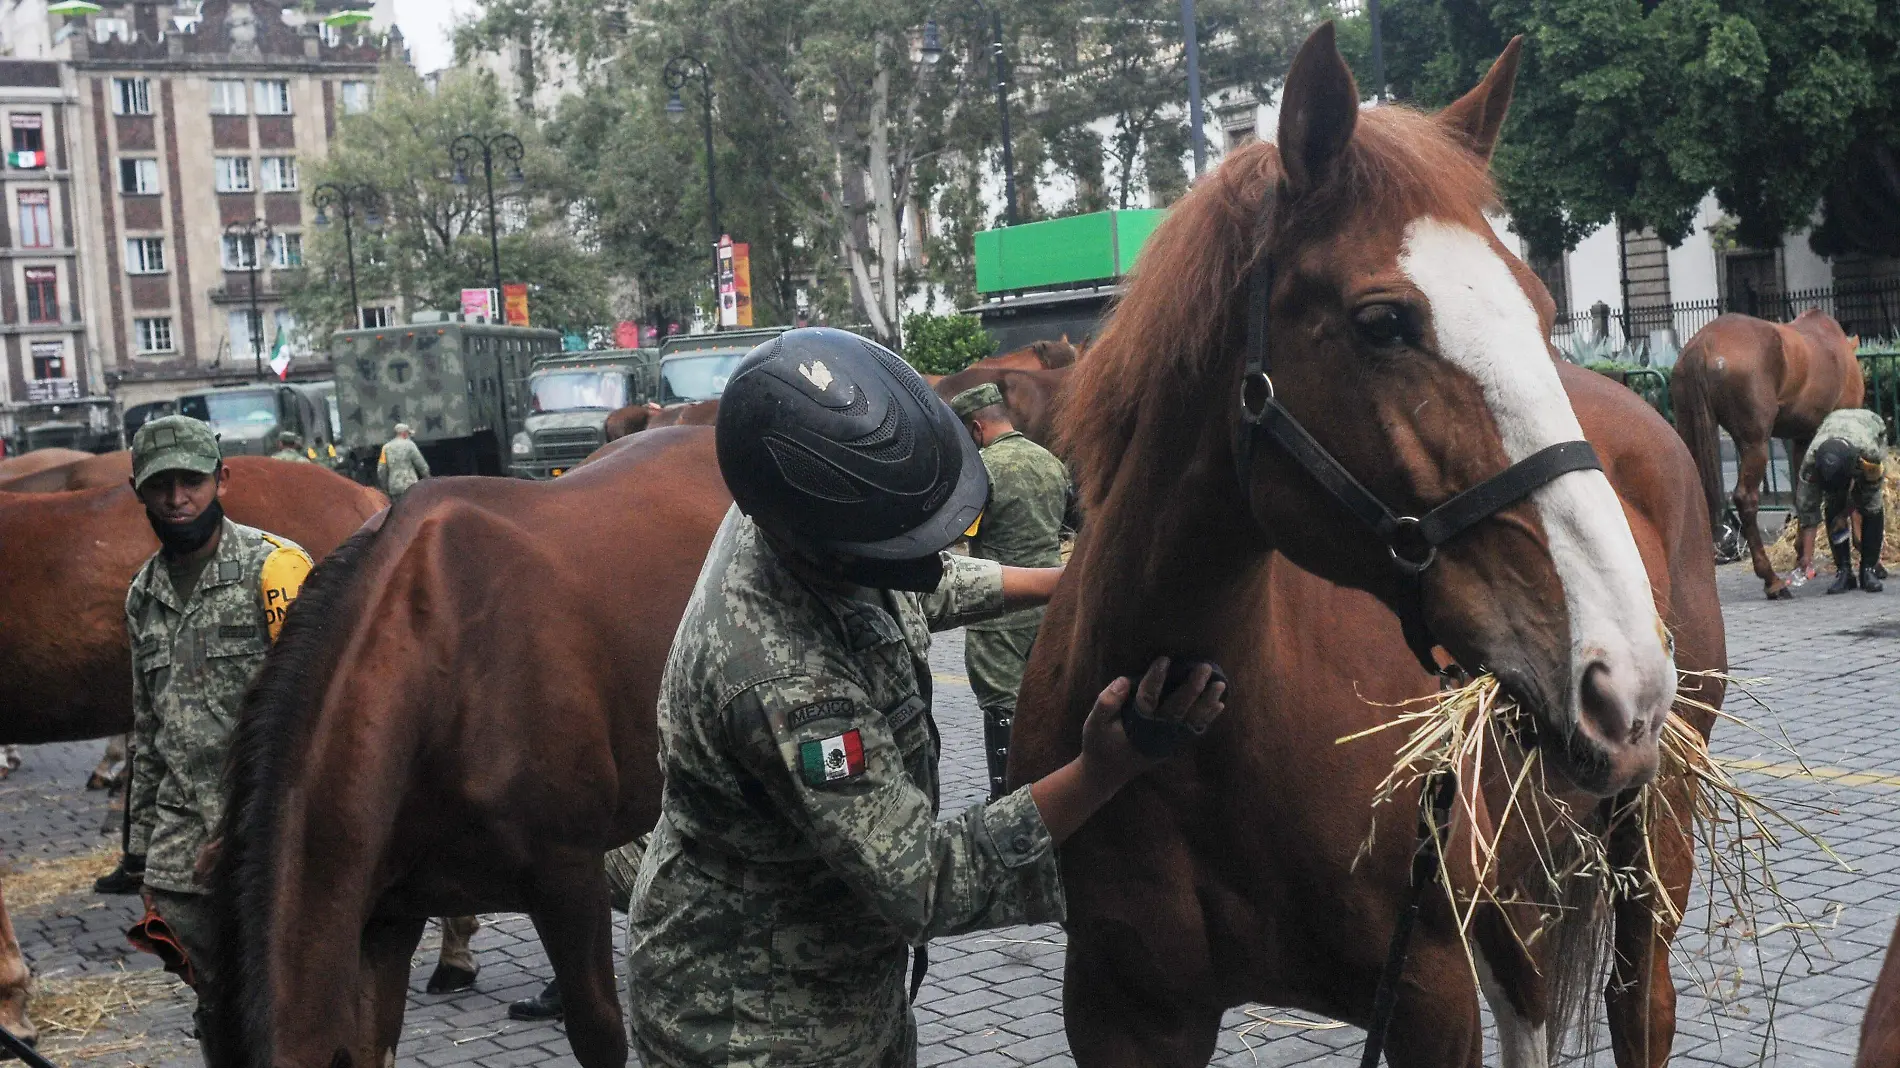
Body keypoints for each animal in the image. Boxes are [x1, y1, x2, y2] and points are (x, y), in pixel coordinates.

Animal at [1010, 27, 1725, 1064]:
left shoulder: (1425, 991)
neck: (1189, 743)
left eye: (1541, 306)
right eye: (1383, 321)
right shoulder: (1122, 1015)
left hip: (1649, 842)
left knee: (1639, 1004)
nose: (1624, 674)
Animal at [1672, 307, 1862, 592]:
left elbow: (1803, 494)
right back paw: (1771, 580)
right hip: (1755, 444)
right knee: (1746, 499)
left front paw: (1801, 553)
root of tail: (1703, 344)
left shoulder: (1801, 440)